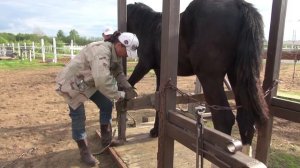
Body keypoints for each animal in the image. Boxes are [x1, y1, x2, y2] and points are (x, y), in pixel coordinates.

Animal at [127, 0, 268, 151]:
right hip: (237, 77)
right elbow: (158, 100)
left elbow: (130, 82)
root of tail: (239, 5)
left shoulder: (144, 65)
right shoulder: (159, 72)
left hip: (210, 79)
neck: (148, 25)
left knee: (224, 119)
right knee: (245, 120)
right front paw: (155, 131)